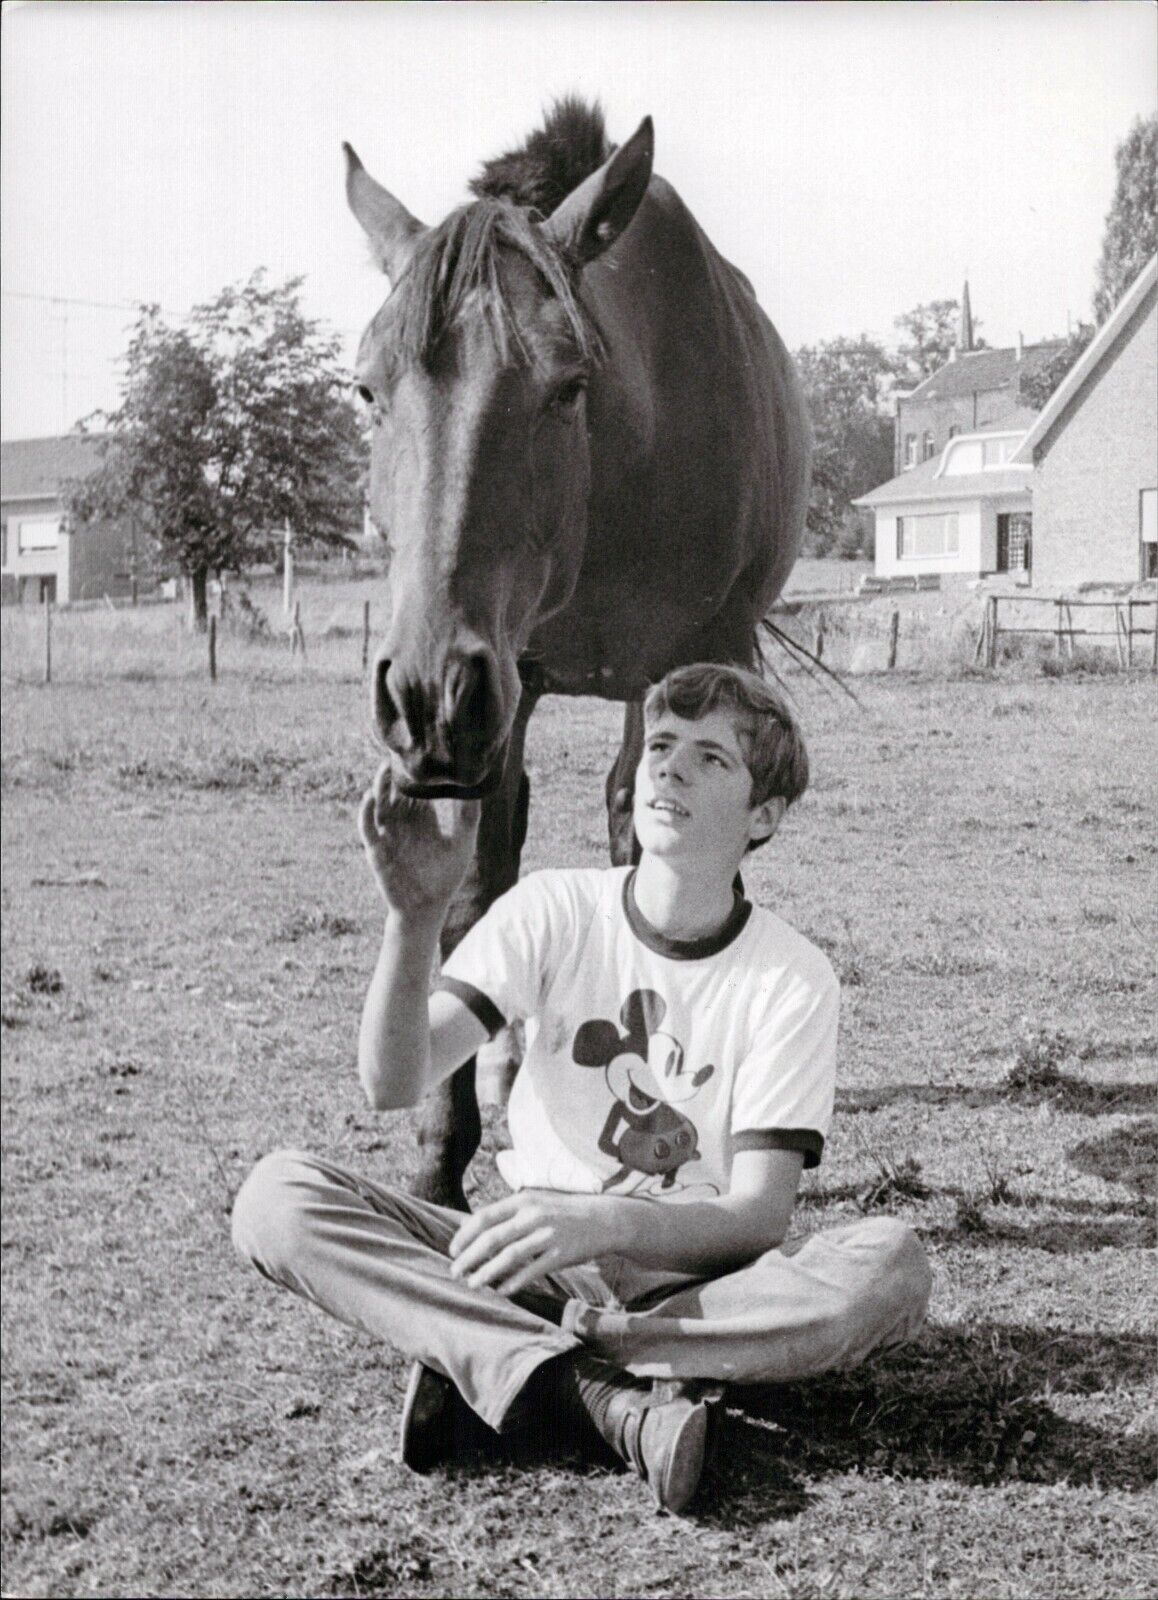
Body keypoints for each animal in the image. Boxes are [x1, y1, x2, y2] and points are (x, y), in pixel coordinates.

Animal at [348, 100, 809, 1203]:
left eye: (567, 386)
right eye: (367, 391)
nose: (423, 697)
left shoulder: (686, 664)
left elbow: (643, 833)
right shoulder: (505, 682)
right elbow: (477, 883)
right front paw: (441, 1151)